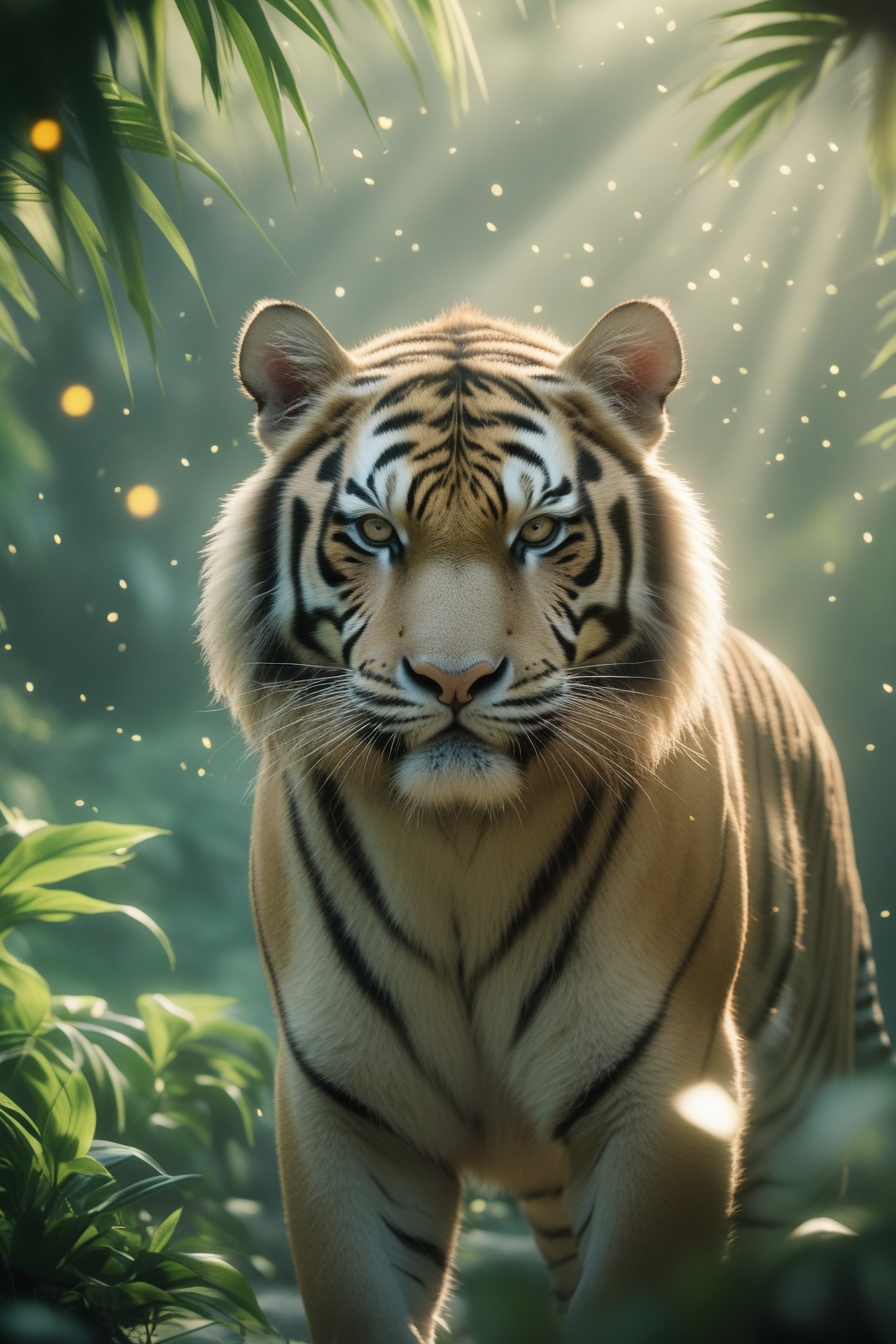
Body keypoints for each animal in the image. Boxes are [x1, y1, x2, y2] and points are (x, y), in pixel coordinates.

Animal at [198, 296, 890, 1344]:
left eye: (541, 532)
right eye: (374, 531)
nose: (453, 679)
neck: (459, 843)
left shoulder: (667, 1095)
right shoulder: (346, 1110)